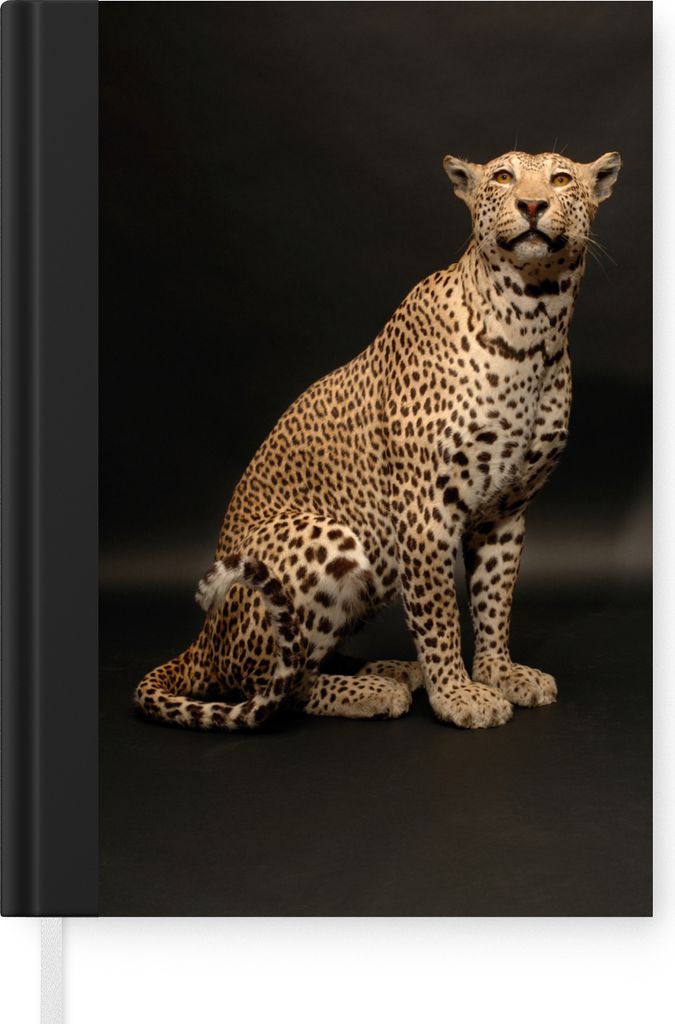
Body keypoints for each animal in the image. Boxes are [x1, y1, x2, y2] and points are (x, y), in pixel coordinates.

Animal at [135, 148, 621, 731]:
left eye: (561, 178)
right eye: (504, 177)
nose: (532, 204)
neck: (535, 321)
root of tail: (203, 641)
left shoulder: (506, 511)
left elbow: (494, 601)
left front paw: (499, 673)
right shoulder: (425, 508)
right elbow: (439, 611)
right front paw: (457, 694)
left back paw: (391, 670)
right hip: (326, 539)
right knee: (275, 685)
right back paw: (372, 689)